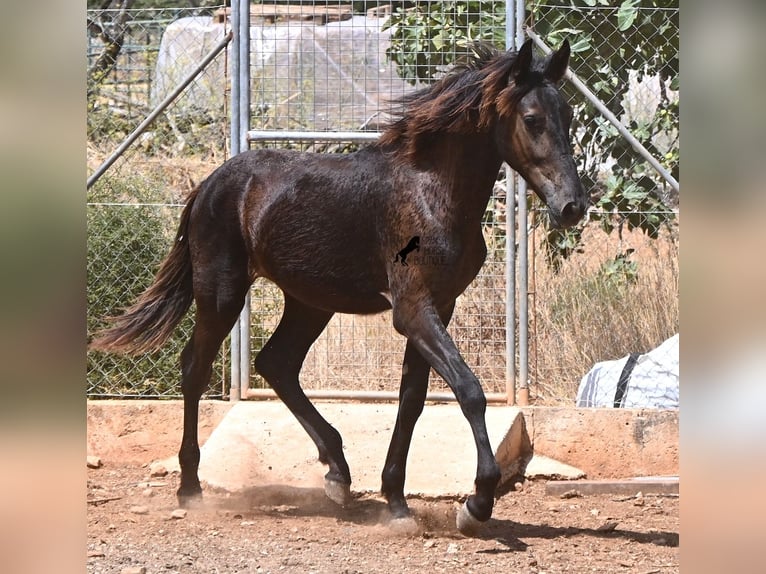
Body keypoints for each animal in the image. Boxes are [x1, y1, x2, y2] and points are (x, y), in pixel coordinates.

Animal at [90, 39, 587, 535]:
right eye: (532, 119)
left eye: (567, 115)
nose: (573, 207)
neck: (431, 192)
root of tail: (208, 185)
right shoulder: (413, 309)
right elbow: (469, 390)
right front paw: (477, 503)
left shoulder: (438, 306)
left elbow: (412, 400)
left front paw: (397, 502)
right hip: (222, 293)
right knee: (196, 367)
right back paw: (191, 487)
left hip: (310, 302)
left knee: (277, 363)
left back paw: (338, 475)